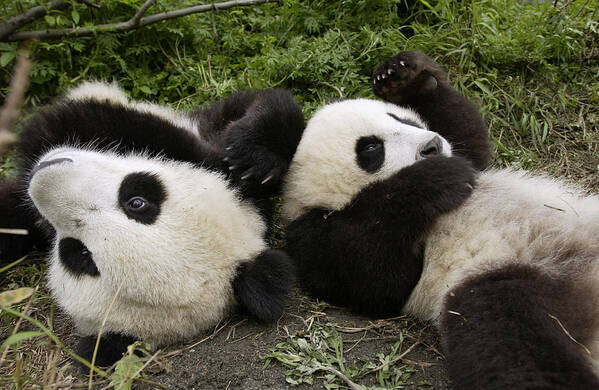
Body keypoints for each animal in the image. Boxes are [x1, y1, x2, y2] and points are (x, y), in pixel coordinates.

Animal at [282, 52, 599, 390]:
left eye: (400, 119)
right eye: (371, 147)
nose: (432, 145)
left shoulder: (469, 156)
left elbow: (469, 139)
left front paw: (403, 77)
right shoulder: (313, 235)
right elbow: (375, 279)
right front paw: (434, 179)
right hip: (503, 283)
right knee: (512, 345)